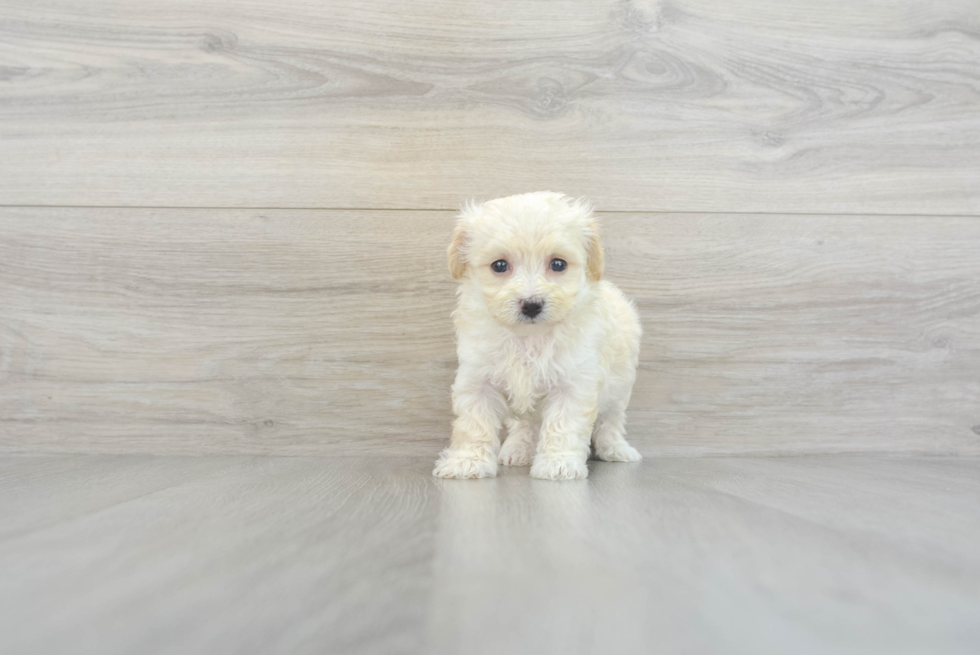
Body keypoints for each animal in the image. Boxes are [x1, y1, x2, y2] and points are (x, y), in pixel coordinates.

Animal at [432, 191, 640, 482]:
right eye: (499, 265)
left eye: (558, 264)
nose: (531, 304)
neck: (528, 337)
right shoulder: (477, 379)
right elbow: (473, 424)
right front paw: (467, 462)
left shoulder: (574, 383)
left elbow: (564, 425)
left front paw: (559, 464)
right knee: (526, 425)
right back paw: (518, 449)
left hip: (619, 388)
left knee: (611, 421)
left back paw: (616, 449)